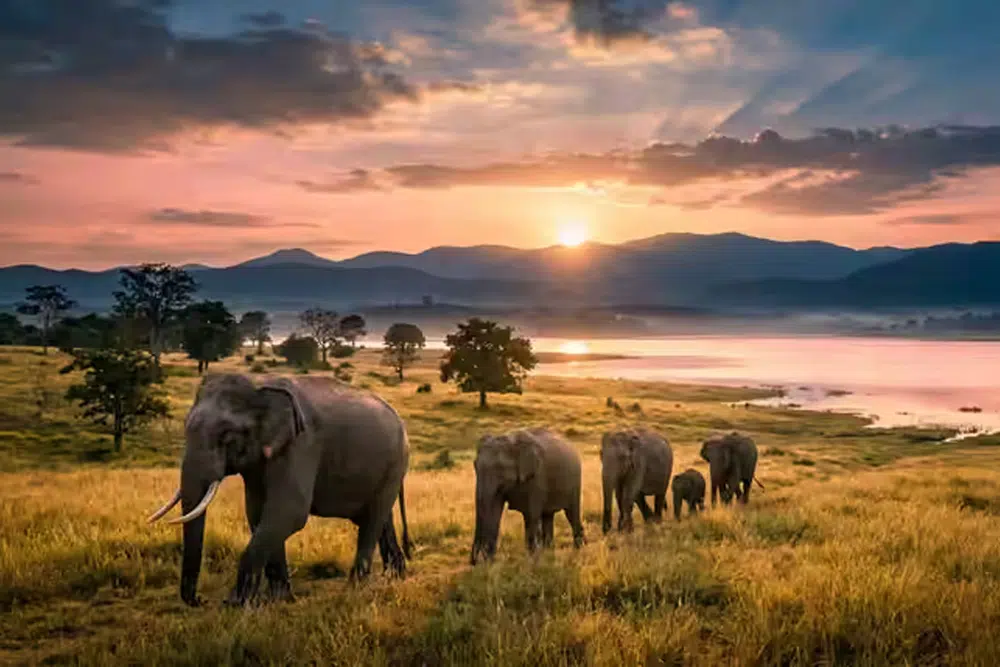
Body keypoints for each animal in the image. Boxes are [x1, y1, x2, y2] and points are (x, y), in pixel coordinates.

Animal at [148, 373, 413, 607]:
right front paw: (279, 600)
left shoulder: (301, 444)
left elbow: (288, 512)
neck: (260, 386)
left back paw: (356, 588)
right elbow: (258, 514)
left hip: (396, 462)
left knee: (373, 519)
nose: (201, 600)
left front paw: (236, 603)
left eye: (227, 435)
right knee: (380, 519)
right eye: (185, 428)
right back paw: (395, 578)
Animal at [470, 427, 585, 564]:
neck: (512, 442)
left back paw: (578, 551)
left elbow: (530, 515)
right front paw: (490, 562)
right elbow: (495, 512)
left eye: (500, 468)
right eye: (475, 465)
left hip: (575, 481)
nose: (474, 562)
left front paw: (532, 562)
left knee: (572, 513)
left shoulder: (537, 478)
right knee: (548, 516)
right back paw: (549, 554)